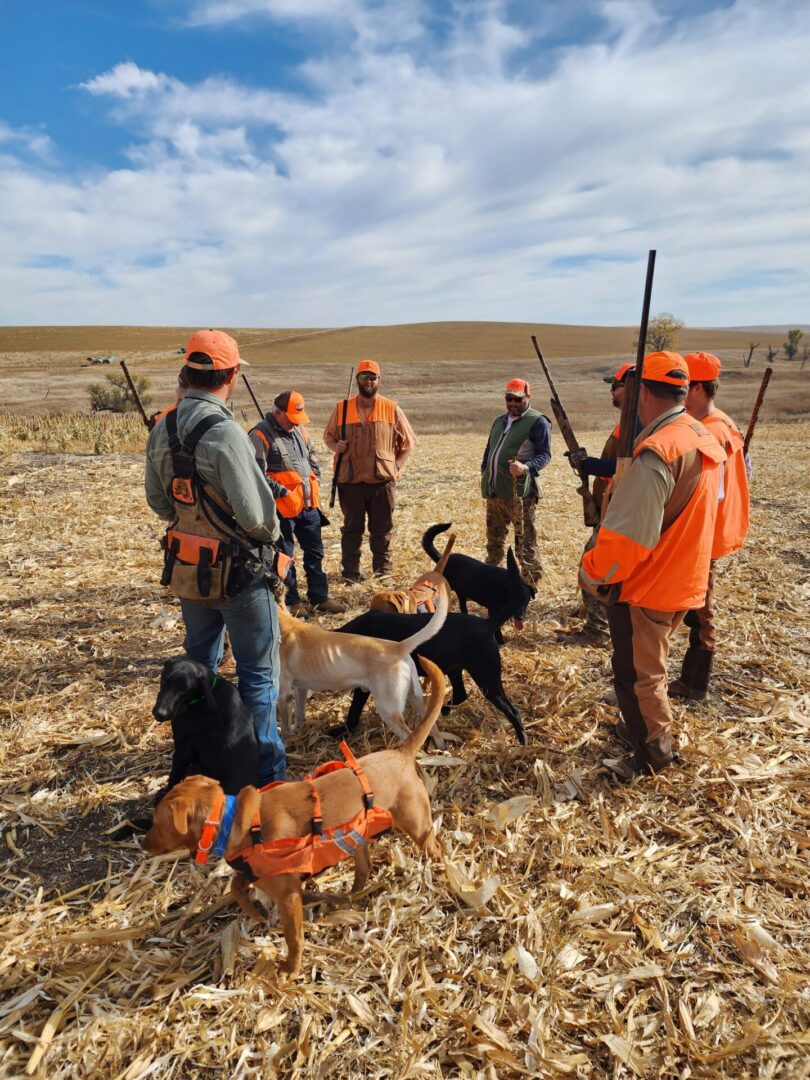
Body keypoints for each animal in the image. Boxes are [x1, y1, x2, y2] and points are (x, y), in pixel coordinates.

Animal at [142, 652, 447, 976]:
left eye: (157, 822)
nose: (143, 842)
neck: (237, 821)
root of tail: (400, 752)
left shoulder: (288, 895)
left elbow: (293, 937)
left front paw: (290, 967)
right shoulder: (253, 874)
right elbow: (237, 887)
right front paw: (257, 911)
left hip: (416, 825)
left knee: (434, 845)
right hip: (358, 839)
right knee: (364, 870)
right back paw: (348, 895)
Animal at [276, 578, 447, 747]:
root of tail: (398, 646)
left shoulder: (284, 695)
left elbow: (284, 727)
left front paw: (285, 743)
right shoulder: (300, 688)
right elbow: (299, 714)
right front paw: (297, 732)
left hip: (388, 708)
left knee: (411, 737)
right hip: (415, 697)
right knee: (432, 726)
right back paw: (440, 748)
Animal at [334, 613, 527, 747]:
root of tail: (488, 624)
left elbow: (354, 710)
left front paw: (341, 731)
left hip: (487, 679)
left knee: (513, 711)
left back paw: (522, 740)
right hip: (456, 671)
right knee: (461, 695)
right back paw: (442, 711)